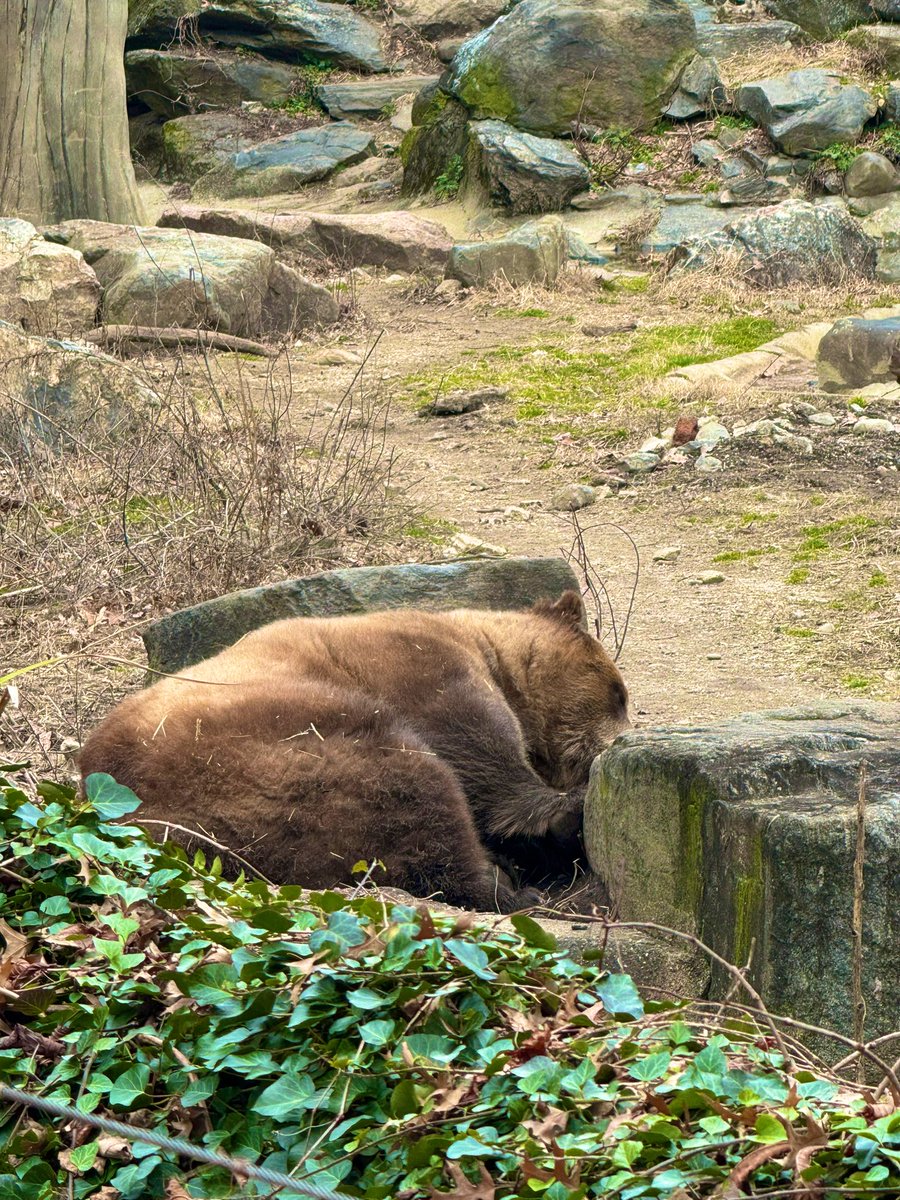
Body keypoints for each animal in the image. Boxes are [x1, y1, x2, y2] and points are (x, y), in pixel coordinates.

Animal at [79, 590, 633, 907]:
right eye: (619, 693)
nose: (621, 738)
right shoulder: (412, 664)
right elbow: (476, 748)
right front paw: (560, 813)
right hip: (267, 753)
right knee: (416, 793)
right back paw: (514, 886)